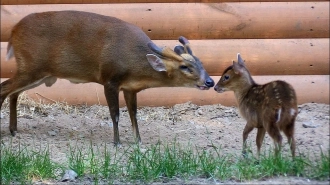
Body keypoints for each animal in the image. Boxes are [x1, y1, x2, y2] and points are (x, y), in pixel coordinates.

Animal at [0, 10, 214, 146]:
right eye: (185, 67)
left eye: (201, 63)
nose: (210, 81)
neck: (134, 63)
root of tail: (13, 31)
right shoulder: (109, 79)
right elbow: (115, 113)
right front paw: (117, 142)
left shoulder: (130, 88)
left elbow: (134, 114)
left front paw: (138, 141)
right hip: (31, 67)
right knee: (4, 88)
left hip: (40, 73)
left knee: (14, 93)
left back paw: (14, 129)